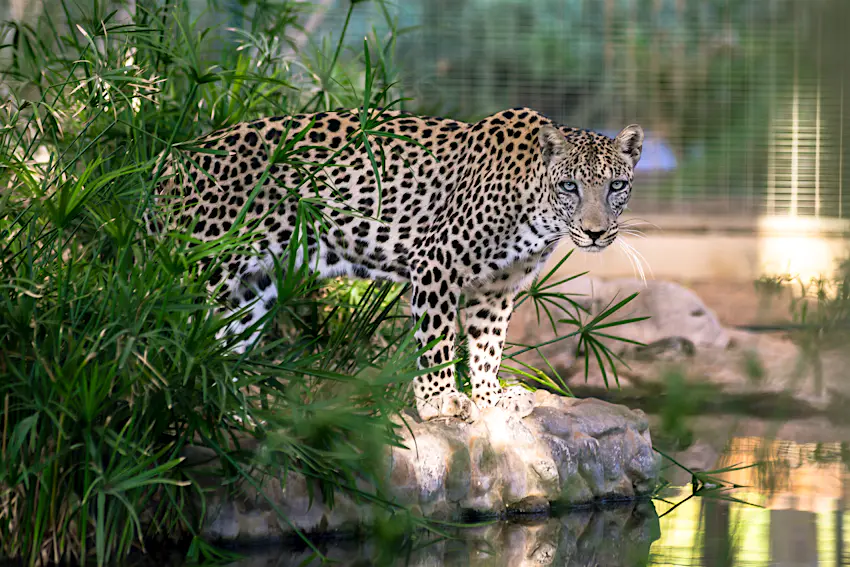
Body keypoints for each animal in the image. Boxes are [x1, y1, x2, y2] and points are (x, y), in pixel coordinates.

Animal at [150, 106, 643, 423]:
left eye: (617, 186)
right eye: (570, 187)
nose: (596, 232)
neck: (538, 212)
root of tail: (169, 157)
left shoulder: (496, 289)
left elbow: (487, 347)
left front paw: (490, 398)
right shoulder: (438, 263)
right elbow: (439, 338)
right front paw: (441, 402)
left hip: (251, 290)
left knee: (215, 347)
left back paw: (230, 410)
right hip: (200, 266)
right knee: (163, 337)